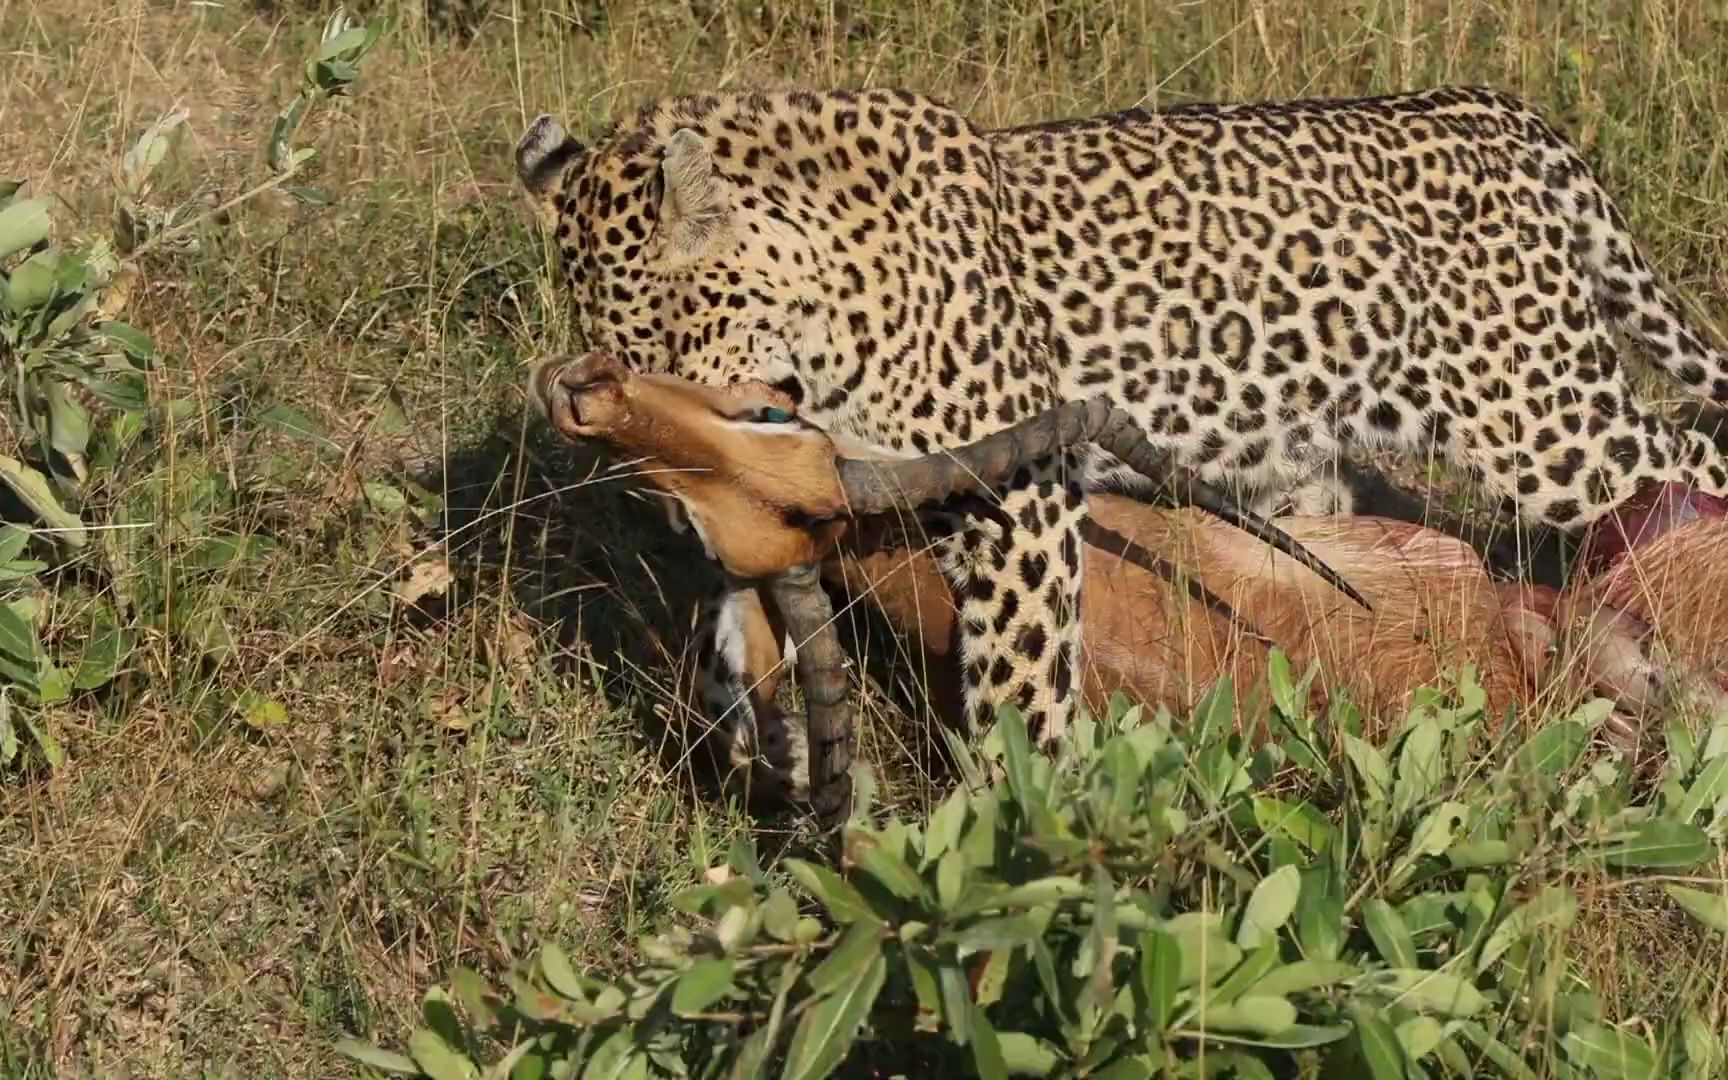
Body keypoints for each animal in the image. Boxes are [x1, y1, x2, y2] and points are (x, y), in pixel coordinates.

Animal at [518, 84, 1728, 801]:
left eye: (649, 351)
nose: (580, 395)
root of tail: (1504, 112)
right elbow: (750, 589)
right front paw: (743, 704)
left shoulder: (1011, 500)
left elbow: (1016, 685)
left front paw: (1006, 835)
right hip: (1314, 455)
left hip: (1547, 417)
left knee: (1686, 475)